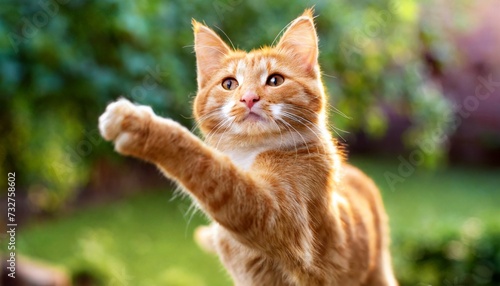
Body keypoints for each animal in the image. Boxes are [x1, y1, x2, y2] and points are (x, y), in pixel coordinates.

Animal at [99, 9, 398, 286]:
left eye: (275, 80)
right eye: (229, 83)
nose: (249, 98)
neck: (248, 154)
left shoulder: (273, 215)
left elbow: (214, 171)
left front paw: (140, 125)